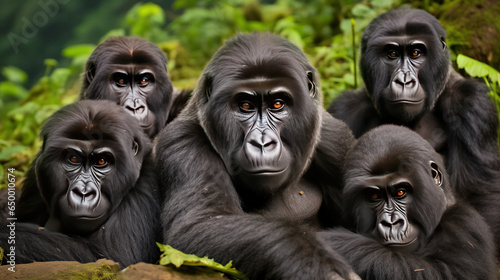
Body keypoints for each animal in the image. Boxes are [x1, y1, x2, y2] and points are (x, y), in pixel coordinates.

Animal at [154, 31, 358, 278]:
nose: (262, 143)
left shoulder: (337, 140)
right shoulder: (182, 141)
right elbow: (198, 225)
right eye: (245, 105)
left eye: (277, 104)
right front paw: (314, 263)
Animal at [318, 126, 498, 280]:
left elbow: (438, 272)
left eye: (400, 192)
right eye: (375, 195)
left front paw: (335, 243)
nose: (391, 223)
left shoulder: (465, 224)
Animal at [328, 8, 500, 254]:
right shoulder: (345, 108)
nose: (403, 81)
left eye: (416, 53)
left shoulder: (472, 103)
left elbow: (481, 194)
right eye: (391, 54)